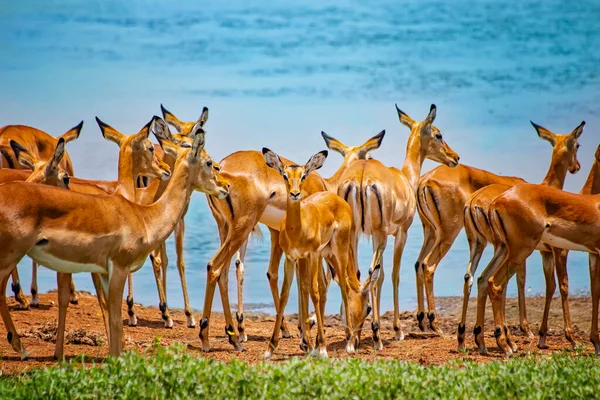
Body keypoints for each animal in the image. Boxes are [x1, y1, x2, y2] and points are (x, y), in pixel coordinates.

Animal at [260, 148, 378, 358]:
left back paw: (348, 343)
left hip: (339, 252)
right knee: (328, 285)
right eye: (285, 175)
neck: (297, 229)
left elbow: (313, 291)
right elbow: (287, 294)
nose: (295, 193)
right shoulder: (292, 258)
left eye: (303, 175)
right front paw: (271, 348)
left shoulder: (312, 255)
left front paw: (320, 346)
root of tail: (338, 199)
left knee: (343, 286)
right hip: (328, 254)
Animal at [332, 104, 460, 350]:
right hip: (379, 236)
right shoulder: (400, 233)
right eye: (438, 134)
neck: (405, 178)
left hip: (353, 235)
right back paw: (375, 336)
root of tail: (361, 178)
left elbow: (379, 276)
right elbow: (393, 274)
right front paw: (396, 329)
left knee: (354, 273)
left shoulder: (371, 236)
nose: (455, 157)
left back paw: (353, 335)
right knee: (372, 272)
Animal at [460, 121, 580, 350]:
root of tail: (474, 202)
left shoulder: (543, 253)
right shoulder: (556, 251)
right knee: (492, 281)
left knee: (474, 277)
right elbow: (555, 285)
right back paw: (501, 341)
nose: (576, 167)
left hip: (481, 245)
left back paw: (469, 339)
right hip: (506, 249)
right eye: (578, 145)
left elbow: (543, 285)